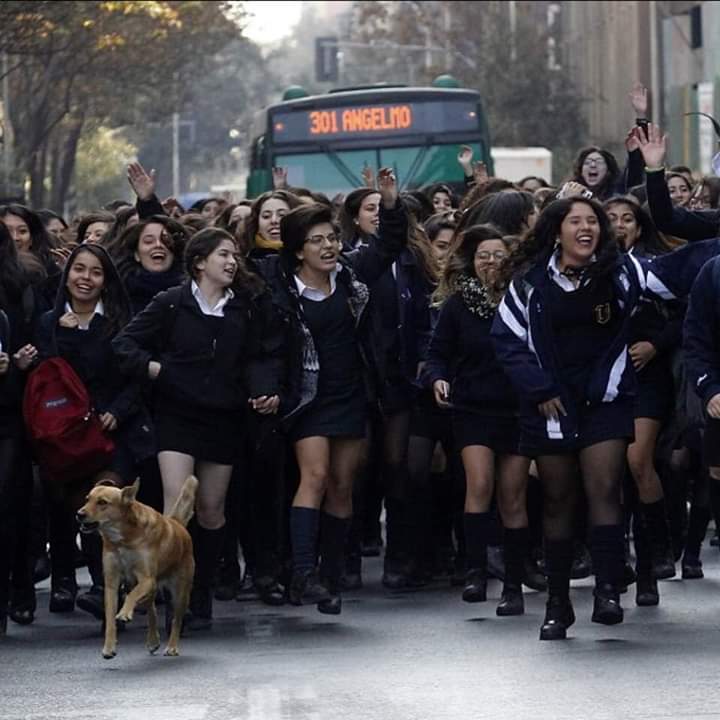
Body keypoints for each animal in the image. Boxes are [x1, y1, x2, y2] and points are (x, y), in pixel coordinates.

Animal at [75, 476, 197, 660]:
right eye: (87, 499)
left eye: (102, 502)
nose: (79, 514)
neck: (123, 539)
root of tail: (177, 524)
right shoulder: (112, 583)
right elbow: (110, 618)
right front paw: (109, 647)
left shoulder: (147, 579)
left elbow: (131, 596)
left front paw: (124, 613)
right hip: (148, 588)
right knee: (152, 610)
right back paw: (153, 640)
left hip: (180, 592)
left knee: (176, 619)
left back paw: (172, 646)